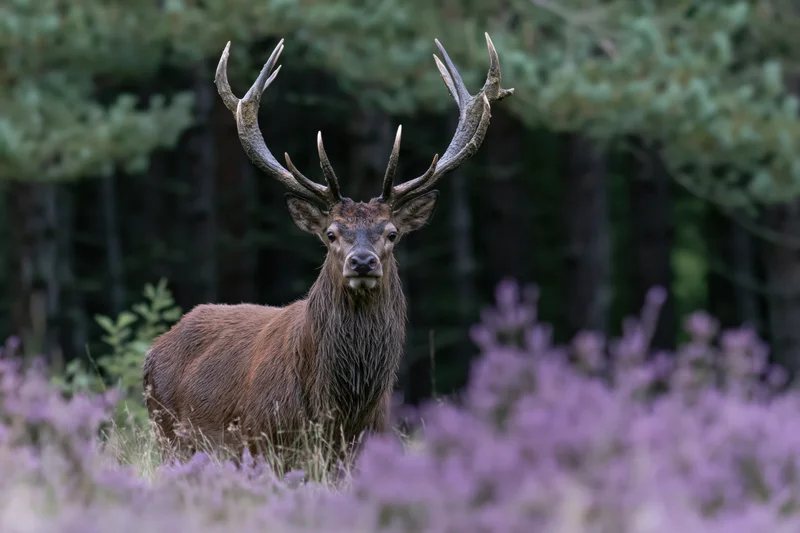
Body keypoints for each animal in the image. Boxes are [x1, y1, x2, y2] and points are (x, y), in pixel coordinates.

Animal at [142, 33, 513, 465]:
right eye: (332, 234)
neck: (339, 409)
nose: (363, 262)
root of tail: (153, 350)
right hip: (170, 437)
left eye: (391, 233)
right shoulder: (265, 442)